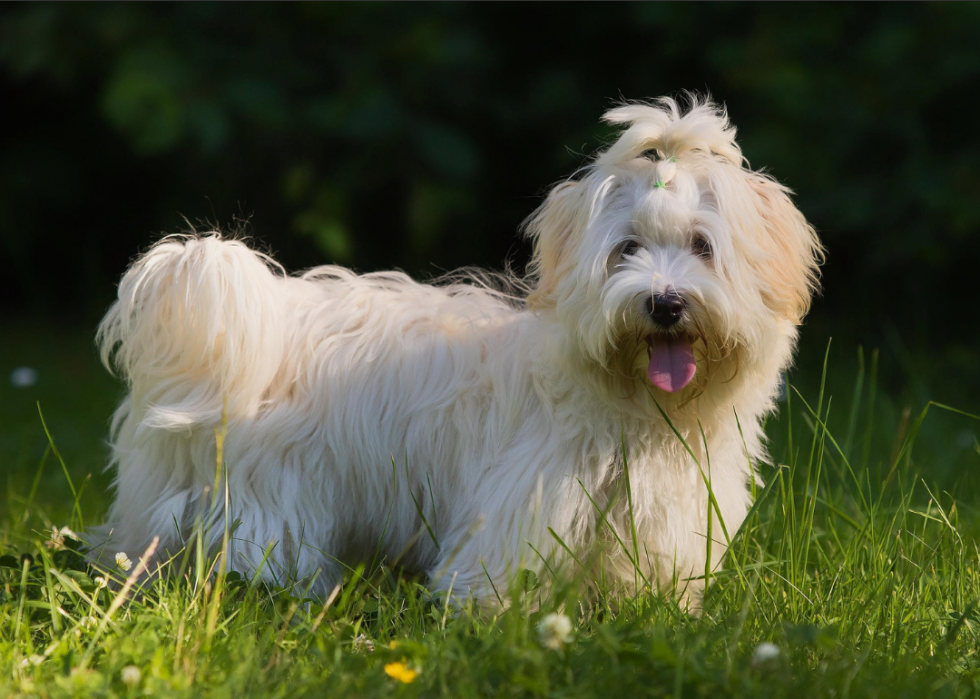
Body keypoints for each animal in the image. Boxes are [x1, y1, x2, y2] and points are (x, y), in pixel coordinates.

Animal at [94, 95, 828, 604]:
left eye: (703, 246)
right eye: (626, 249)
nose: (665, 303)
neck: (632, 404)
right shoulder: (524, 502)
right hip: (267, 496)